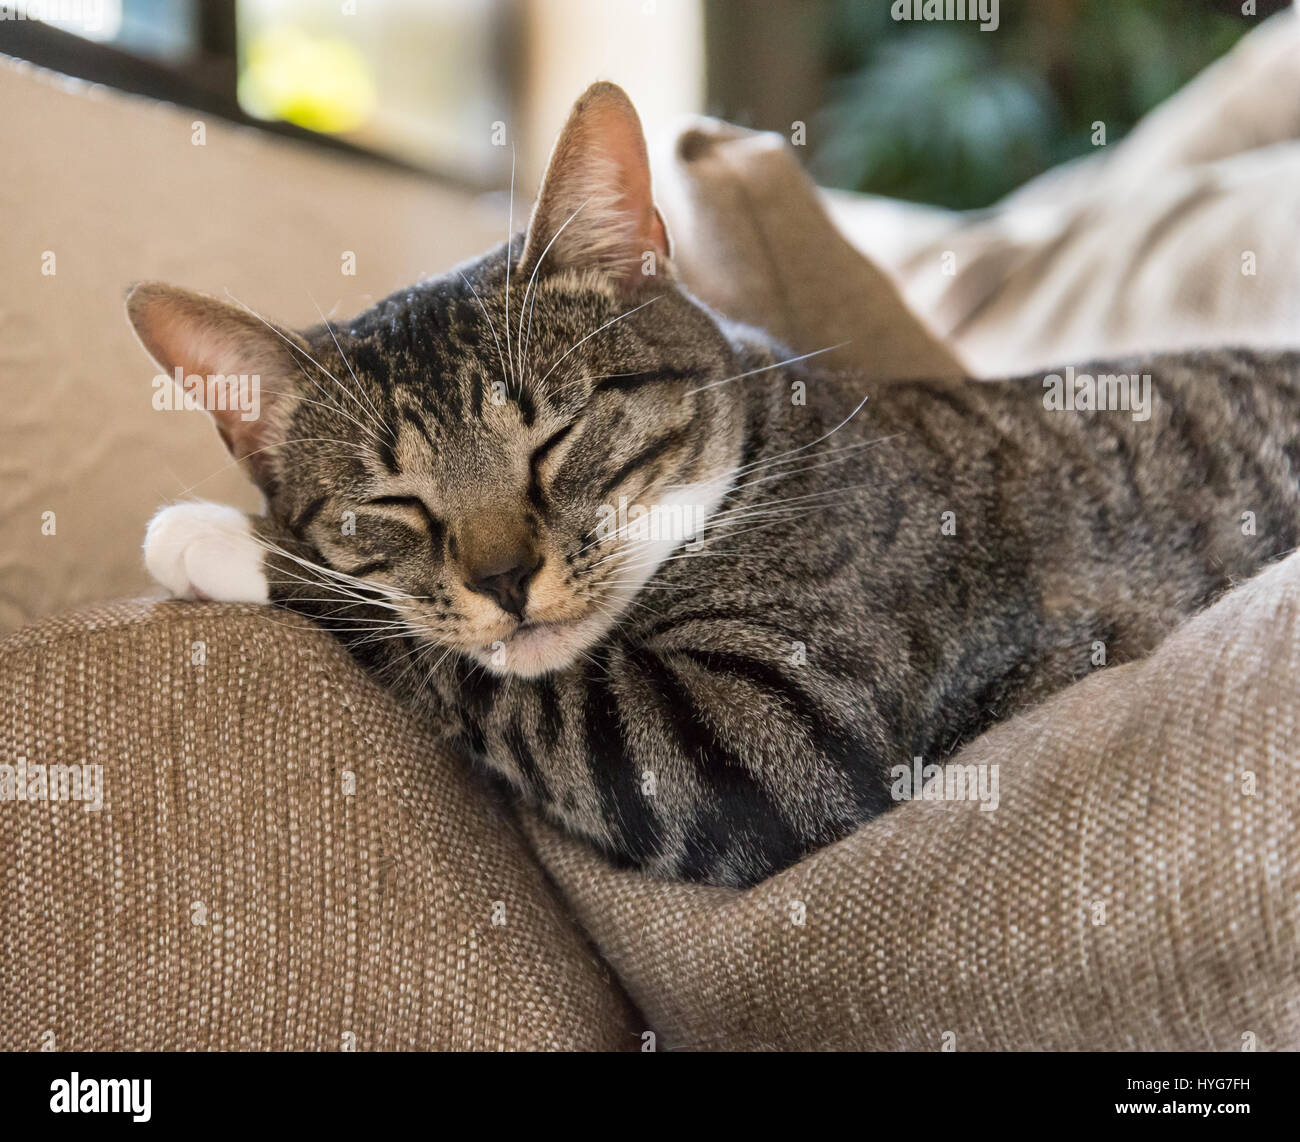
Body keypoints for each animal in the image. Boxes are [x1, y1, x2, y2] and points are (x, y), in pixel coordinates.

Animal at [129, 85, 1300, 889]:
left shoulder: (762, 730)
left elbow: (495, 678)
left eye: (555, 438)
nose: (504, 579)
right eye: (391, 504)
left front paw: (220, 538)